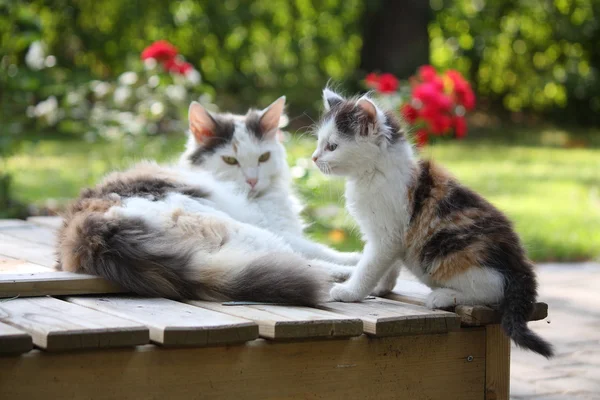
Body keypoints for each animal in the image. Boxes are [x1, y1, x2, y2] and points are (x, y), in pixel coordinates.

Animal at [56, 97, 356, 306]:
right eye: (230, 160)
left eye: (263, 157)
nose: (252, 181)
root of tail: (93, 234)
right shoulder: (280, 230)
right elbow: (318, 249)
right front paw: (354, 259)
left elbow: (323, 248)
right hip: (243, 229)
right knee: (301, 261)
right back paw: (346, 276)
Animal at [314, 89, 552, 358]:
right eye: (318, 142)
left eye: (332, 146)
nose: (313, 158)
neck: (374, 173)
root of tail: (520, 265)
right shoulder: (394, 237)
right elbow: (388, 265)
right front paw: (381, 288)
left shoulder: (386, 234)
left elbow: (369, 265)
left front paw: (351, 291)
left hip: (450, 256)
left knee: (493, 289)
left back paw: (443, 297)